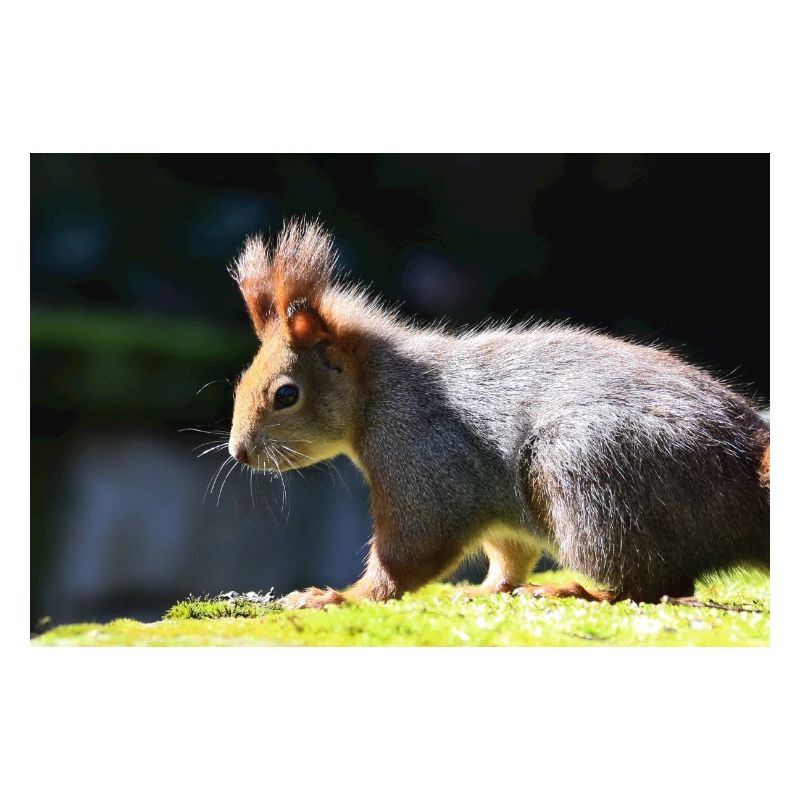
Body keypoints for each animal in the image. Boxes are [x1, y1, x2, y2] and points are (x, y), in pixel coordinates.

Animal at [227, 219, 770, 609]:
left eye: (286, 394)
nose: (239, 452)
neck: (379, 389)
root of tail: (747, 464)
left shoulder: (424, 459)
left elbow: (409, 553)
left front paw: (338, 597)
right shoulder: (499, 512)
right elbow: (510, 554)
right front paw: (488, 588)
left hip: (587, 468)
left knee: (655, 583)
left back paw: (578, 590)